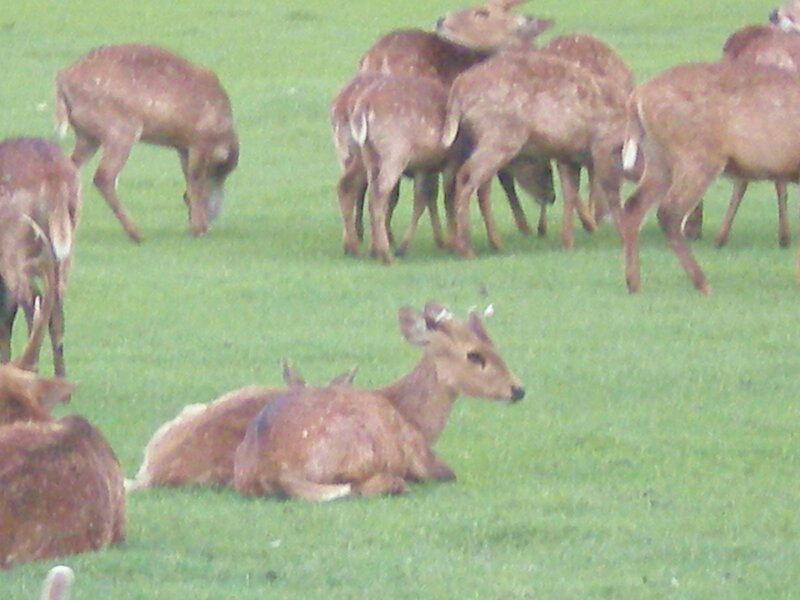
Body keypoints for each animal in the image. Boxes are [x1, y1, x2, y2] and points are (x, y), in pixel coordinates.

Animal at [55, 43, 239, 242]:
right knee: (103, 176)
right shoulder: (199, 140)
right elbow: (195, 179)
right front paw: (198, 228)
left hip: (87, 135)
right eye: (221, 172)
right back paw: (136, 233)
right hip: (121, 129)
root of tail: (62, 79)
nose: (213, 217)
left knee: (72, 168)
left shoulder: (183, 147)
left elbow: (188, 179)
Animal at [232, 302, 524, 501]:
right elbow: (448, 473)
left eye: (495, 346)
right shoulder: (421, 456)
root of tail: (273, 468)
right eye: (473, 355)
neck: (415, 418)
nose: (518, 389)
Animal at [443, 48, 630, 257]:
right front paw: (623, 235)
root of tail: (459, 88)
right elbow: (611, 191)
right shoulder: (604, 146)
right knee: (468, 177)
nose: (551, 196)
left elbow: (570, 193)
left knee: (472, 181)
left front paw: (568, 242)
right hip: (500, 136)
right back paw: (467, 247)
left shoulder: (569, 156)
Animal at [620, 60, 800, 294]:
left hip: (658, 158)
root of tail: (637, 96)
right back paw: (702, 283)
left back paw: (634, 284)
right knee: (669, 212)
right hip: (697, 155)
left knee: (634, 206)